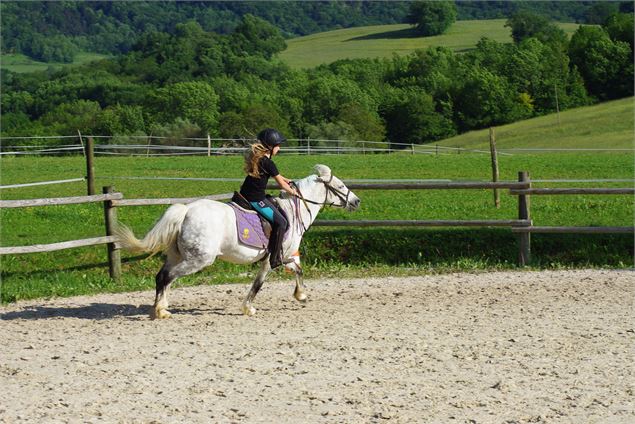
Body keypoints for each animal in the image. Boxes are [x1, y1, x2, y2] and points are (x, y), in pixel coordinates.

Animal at [116, 165, 360, 318]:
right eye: (340, 186)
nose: (357, 201)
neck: (292, 210)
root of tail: (186, 211)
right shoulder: (274, 259)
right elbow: (259, 284)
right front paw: (249, 308)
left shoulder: (284, 257)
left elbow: (298, 270)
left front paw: (300, 295)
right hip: (199, 260)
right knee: (167, 277)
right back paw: (160, 311)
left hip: (177, 255)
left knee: (162, 277)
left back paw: (162, 308)